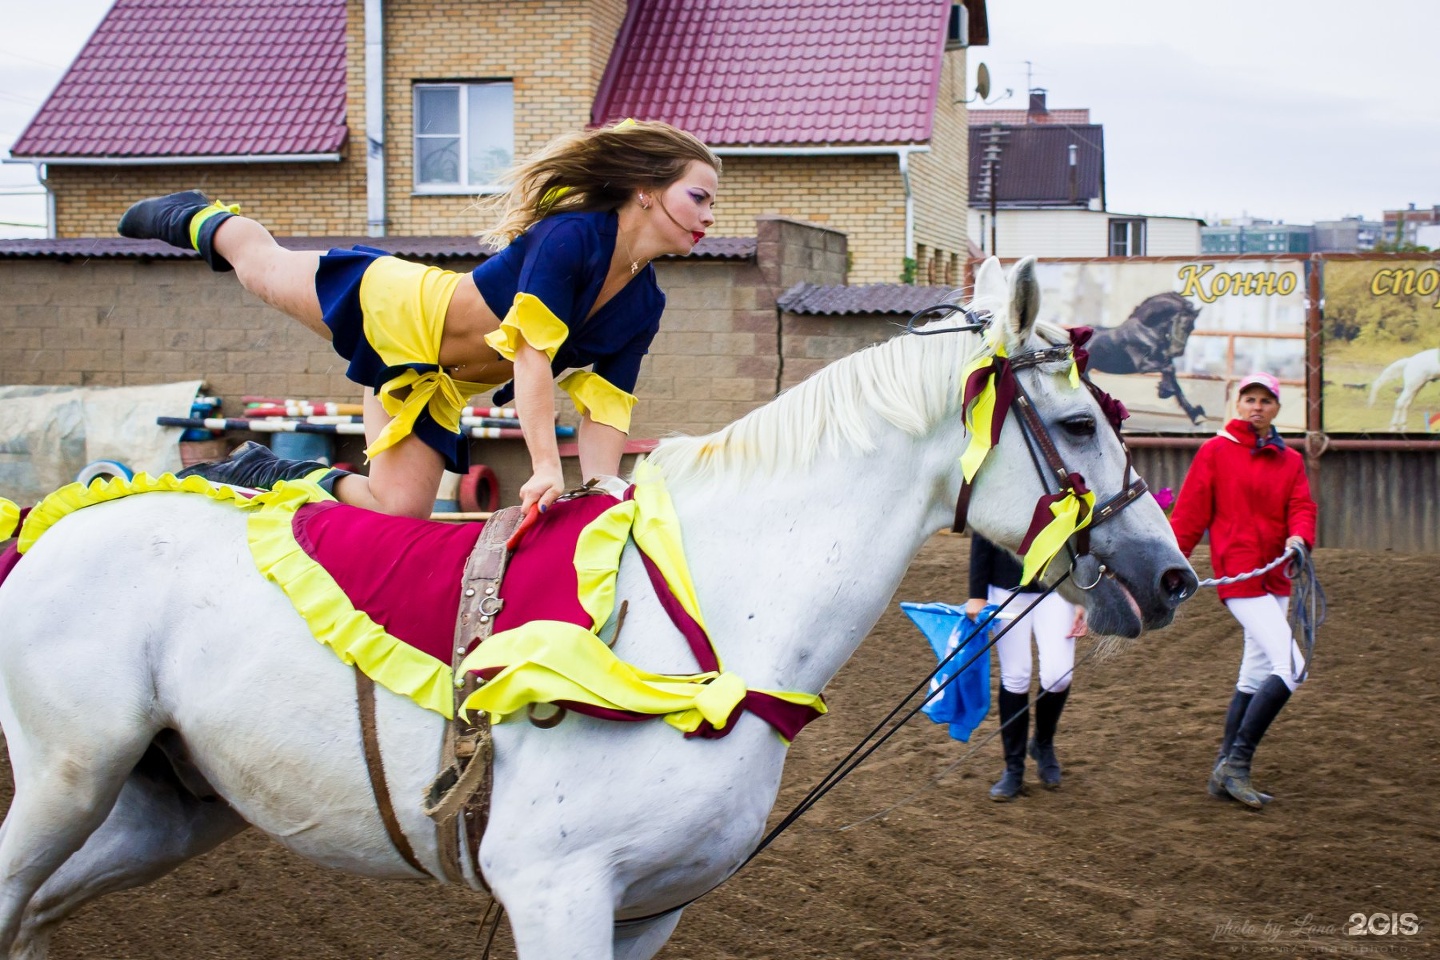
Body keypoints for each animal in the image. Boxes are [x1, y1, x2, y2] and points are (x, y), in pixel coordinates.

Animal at [0, 257, 1198, 960]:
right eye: (1079, 427)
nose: (1173, 575)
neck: (708, 634)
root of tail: (59, 521)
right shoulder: (556, 895)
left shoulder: (646, 911)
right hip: (68, 781)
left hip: (169, 806)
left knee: (38, 914)